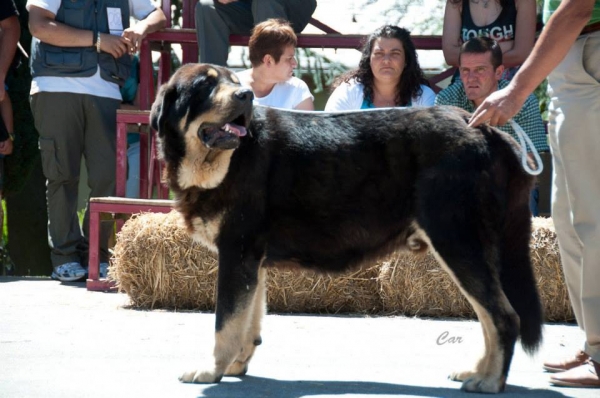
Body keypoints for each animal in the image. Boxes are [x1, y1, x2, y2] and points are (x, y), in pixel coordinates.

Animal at [150, 63, 544, 394]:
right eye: (205, 85)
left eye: (233, 81)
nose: (245, 95)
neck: (224, 161)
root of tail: (483, 128)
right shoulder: (251, 260)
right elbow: (249, 320)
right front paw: (236, 364)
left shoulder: (237, 251)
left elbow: (225, 322)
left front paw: (212, 370)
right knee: (490, 317)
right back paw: (479, 371)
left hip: (457, 242)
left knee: (503, 317)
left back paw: (490, 381)